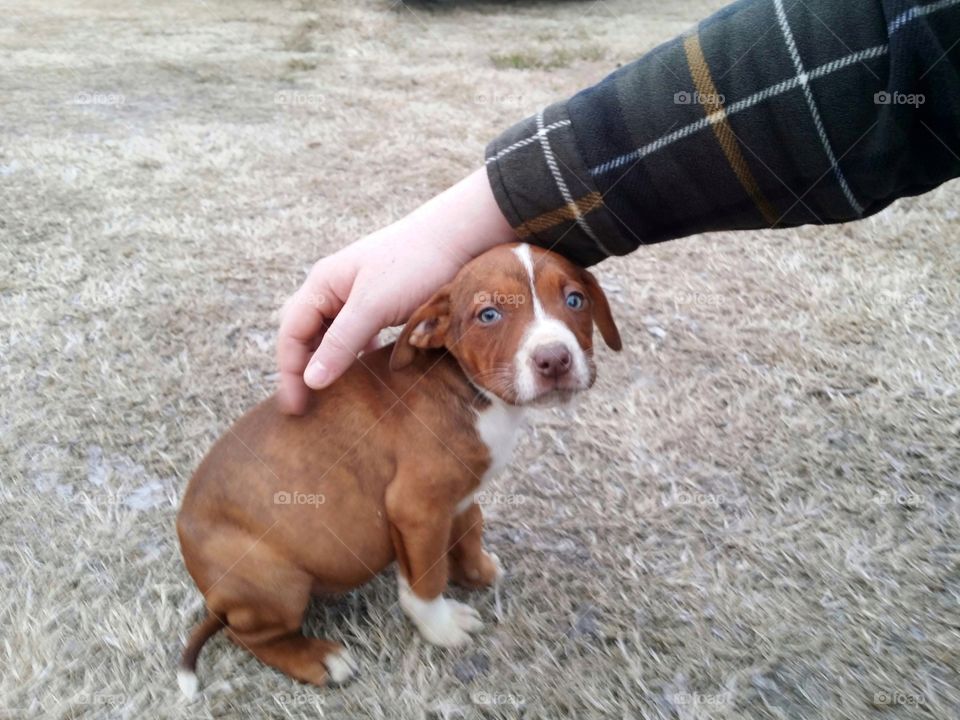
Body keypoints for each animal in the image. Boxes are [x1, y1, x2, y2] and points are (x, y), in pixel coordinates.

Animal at [175, 242, 620, 696]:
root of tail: (213, 596)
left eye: (575, 300)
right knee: (246, 635)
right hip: (275, 580)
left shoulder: (458, 498)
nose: (555, 359)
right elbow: (426, 580)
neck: (467, 389)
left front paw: (477, 572)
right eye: (489, 315)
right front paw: (440, 625)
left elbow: (469, 530)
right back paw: (316, 658)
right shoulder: (416, 510)